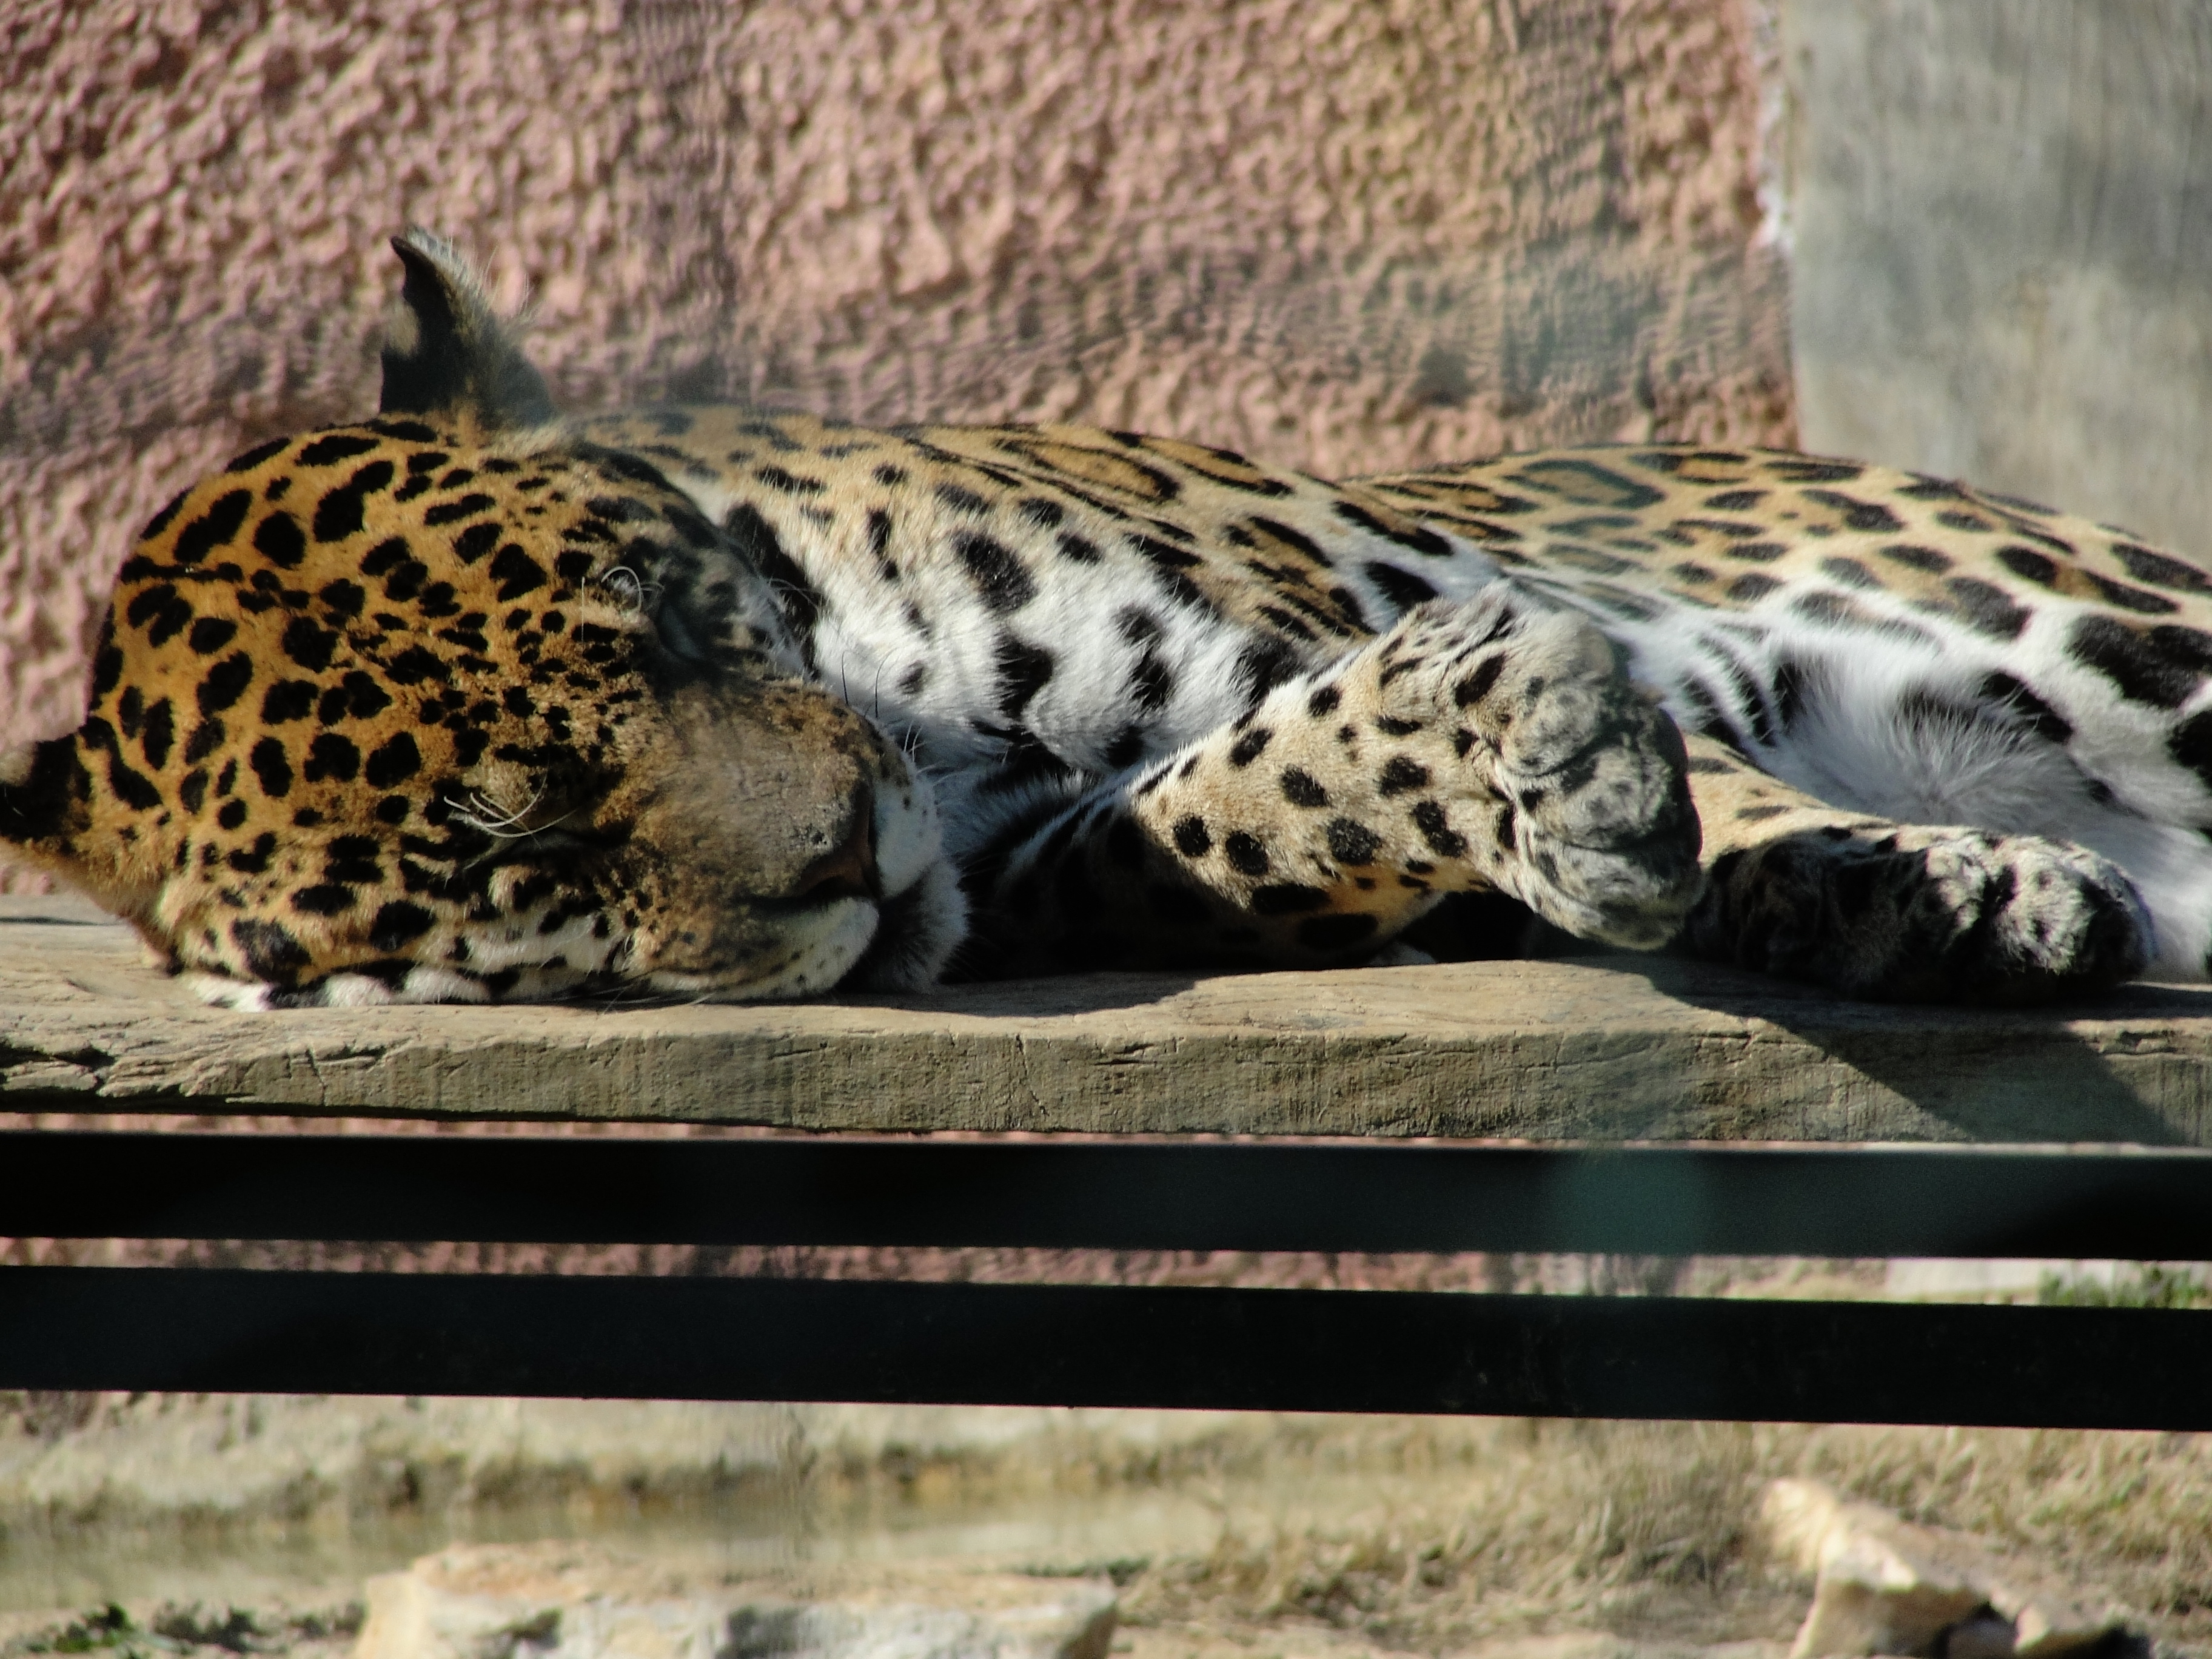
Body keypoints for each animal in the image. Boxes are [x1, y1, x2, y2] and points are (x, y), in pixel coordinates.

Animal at [8, 224, 2203, 1013]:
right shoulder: (1063, 866)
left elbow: (1692, 760)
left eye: (667, 625)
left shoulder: (1306, 595)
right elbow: (1252, 802)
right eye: (511, 845)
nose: (848, 855)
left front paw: (1905, 869)